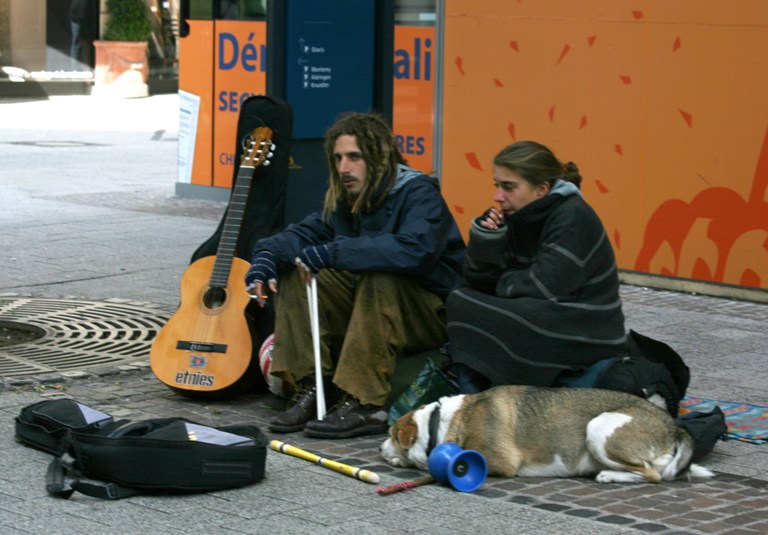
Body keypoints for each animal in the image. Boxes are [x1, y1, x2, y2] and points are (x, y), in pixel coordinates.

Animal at [380, 386, 716, 486]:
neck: (443, 422)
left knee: (651, 474)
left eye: (393, 435)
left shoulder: (501, 460)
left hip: (599, 428)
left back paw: (608, 475)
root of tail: (673, 425)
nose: (381, 448)